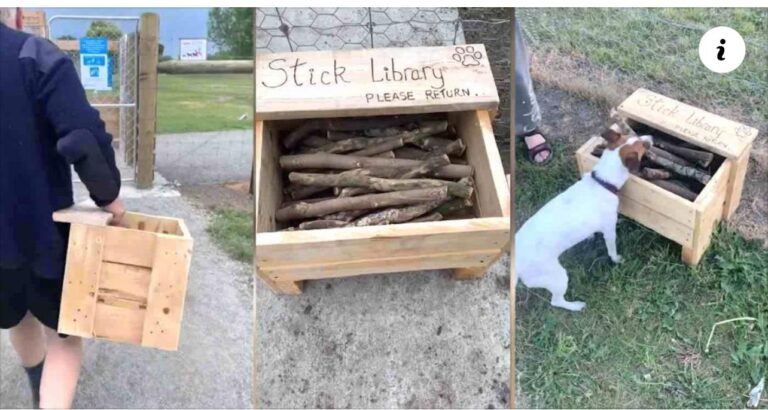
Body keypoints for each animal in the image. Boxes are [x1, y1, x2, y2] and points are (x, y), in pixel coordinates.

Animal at [516, 125, 656, 310]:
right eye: (643, 146)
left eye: (635, 137)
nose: (652, 137)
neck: (602, 182)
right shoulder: (609, 231)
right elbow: (612, 249)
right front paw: (617, 259)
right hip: (557, 276)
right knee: (556, 301)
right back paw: (576, 306)